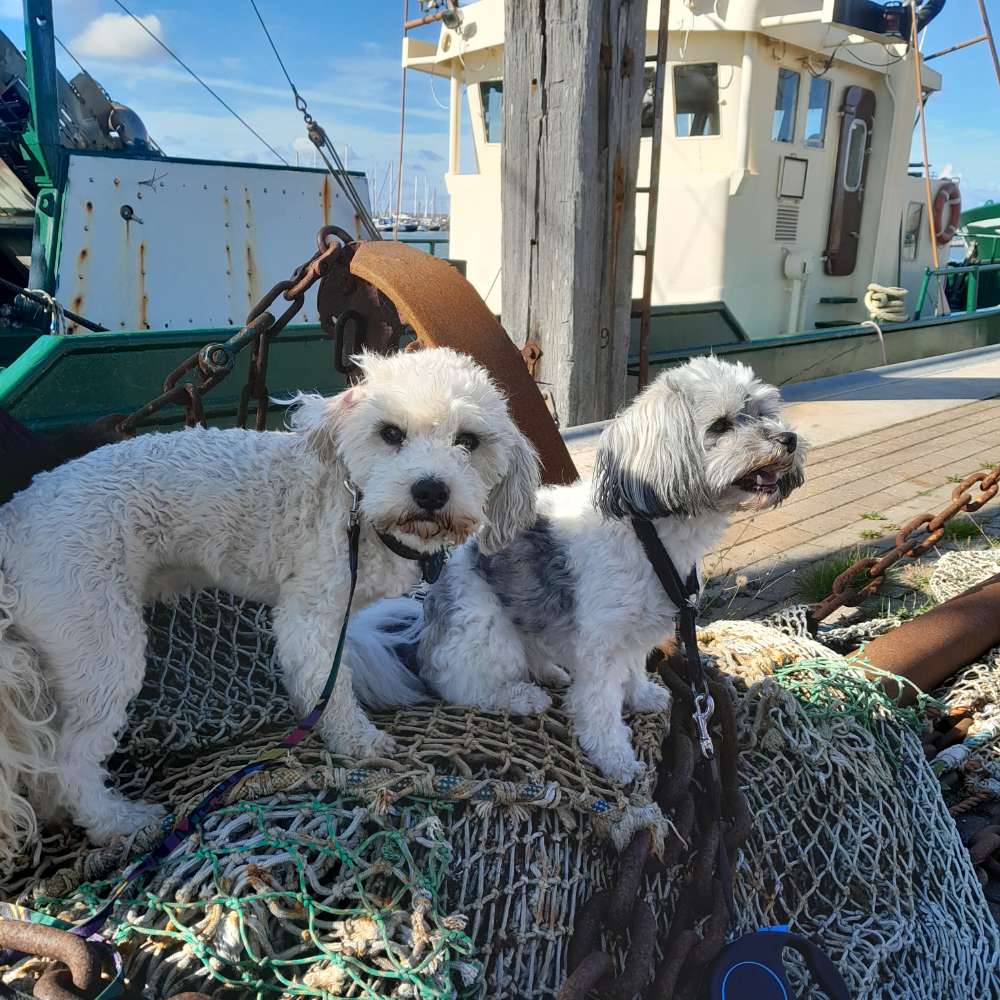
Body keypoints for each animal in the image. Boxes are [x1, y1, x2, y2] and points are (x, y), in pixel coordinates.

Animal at [0, 348, 540, 864]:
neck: (357, 509)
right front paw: (358, 741)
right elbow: (330, 687)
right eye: (391, 433)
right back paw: (116, 821)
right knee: (71, 758)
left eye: (468, 441)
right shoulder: (311, 613)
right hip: (100, 642)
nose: (430, 490)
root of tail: (15, 518)